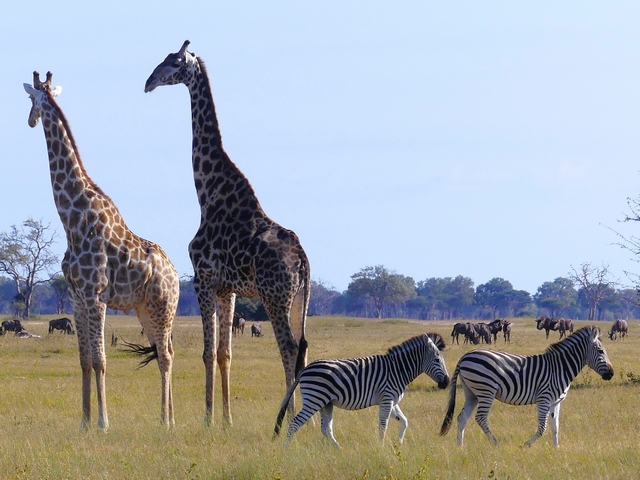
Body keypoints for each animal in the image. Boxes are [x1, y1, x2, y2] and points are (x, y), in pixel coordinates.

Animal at [23, 72, 179, 431]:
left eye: (31, 100)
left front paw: (103, 422)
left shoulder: (96, 296)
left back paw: (166, 421)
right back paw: (168, 418)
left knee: (165, 356)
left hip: (163, 307)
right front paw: (84, 420)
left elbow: (101, 360)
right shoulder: (77, 297)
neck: (72, 218)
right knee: (167, 353)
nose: (30, 121)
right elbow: (84, 360)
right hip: (145, 310)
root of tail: (177, 276)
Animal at [145, 41, 310, 426]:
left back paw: (286, 416)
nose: (148, 82)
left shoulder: (202, 279)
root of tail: (303, 263)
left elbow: (206, 353)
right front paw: (227, 419)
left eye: (174, 62)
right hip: (298, 299)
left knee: (289, 348)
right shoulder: (227, 288)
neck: (208, 192)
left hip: (275, 296)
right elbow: (224, 354)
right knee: (302, 350)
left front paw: (207, 419)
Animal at [273, 333, 450, 448]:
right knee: (295, 423)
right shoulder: (387, 398)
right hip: (314, 400)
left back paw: (339, 450)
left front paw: (398, 444)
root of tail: (305, 369)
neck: (397, 369)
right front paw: (381, 448)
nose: (447, 383)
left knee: (326, 429)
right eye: (437, 360)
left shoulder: (391, 400)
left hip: (326, 403)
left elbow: (404, 421)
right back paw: (285, 449)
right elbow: (383, 426)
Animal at [440, 326, 613, 447]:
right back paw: (495, 443)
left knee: (462, 417)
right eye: (600, 351)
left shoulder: (556, 402)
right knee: (480, 417)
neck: (559, 368)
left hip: (472, 393)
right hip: (486, 390)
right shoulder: (544, 398)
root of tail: (465, 356)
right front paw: (526, 445)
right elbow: (542, 427)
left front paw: (557, 449)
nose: (611, 374)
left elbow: (555, 427)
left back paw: (460, 446)